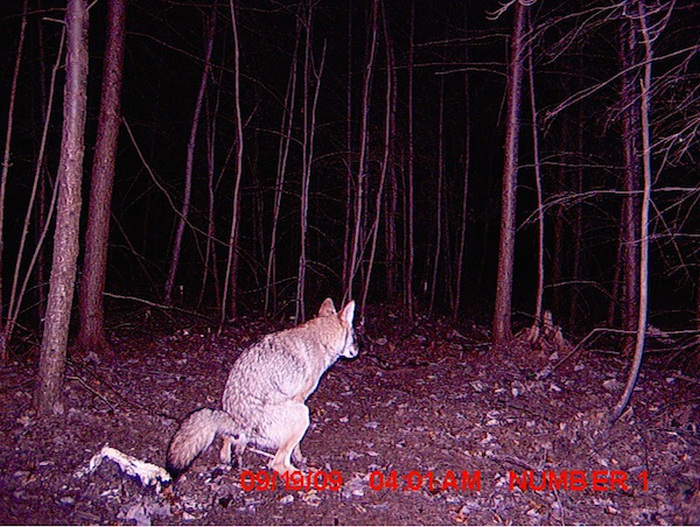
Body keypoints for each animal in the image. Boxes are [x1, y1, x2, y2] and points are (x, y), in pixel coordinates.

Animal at [166, 298, 358, 478]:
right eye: (355, 337)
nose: (358, 350)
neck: (321, 339)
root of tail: (238, 420)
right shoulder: (299, 398)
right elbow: (296, 448)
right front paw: (300, 458)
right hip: (302, 413)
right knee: (276, 463)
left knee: (228, 437)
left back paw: (229, 458)